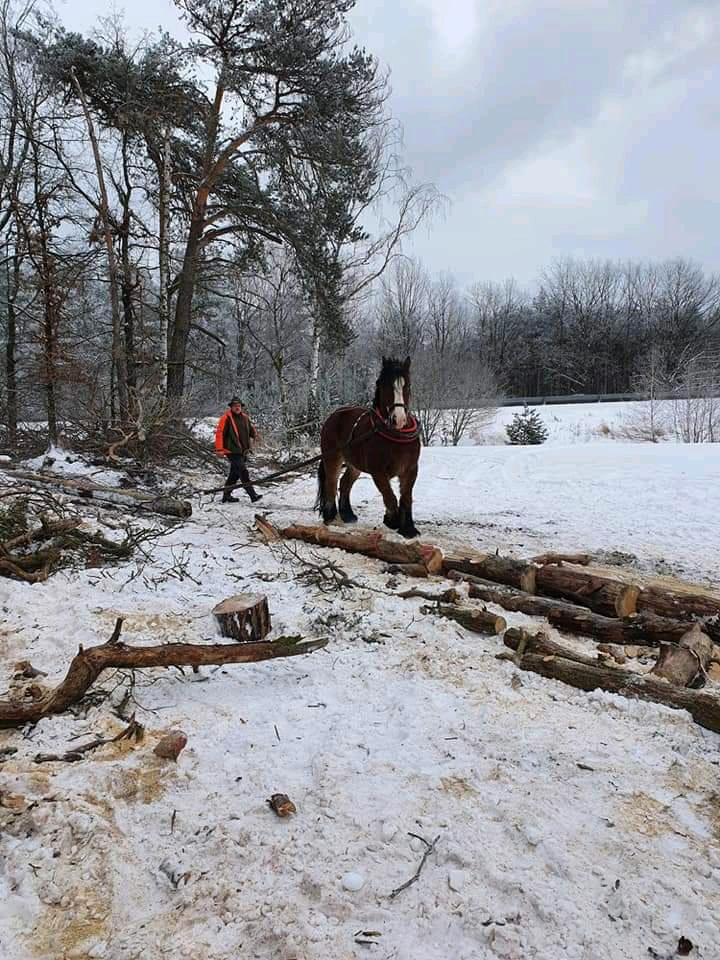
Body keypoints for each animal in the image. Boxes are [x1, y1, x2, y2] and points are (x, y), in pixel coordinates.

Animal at [316, 358, 422, 540]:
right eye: (385, 386)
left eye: (407, 385)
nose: (399, 419)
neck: (396, 435)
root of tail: (334, 415)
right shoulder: (378, 471)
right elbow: (389, 496)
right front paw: (392, 520)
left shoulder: (410, 469)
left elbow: (406, 498)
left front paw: (408, 529)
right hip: (333, 458)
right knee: (331, 482)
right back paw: (331, 516)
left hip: (354, 465)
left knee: (344, 483)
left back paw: (348, 515)